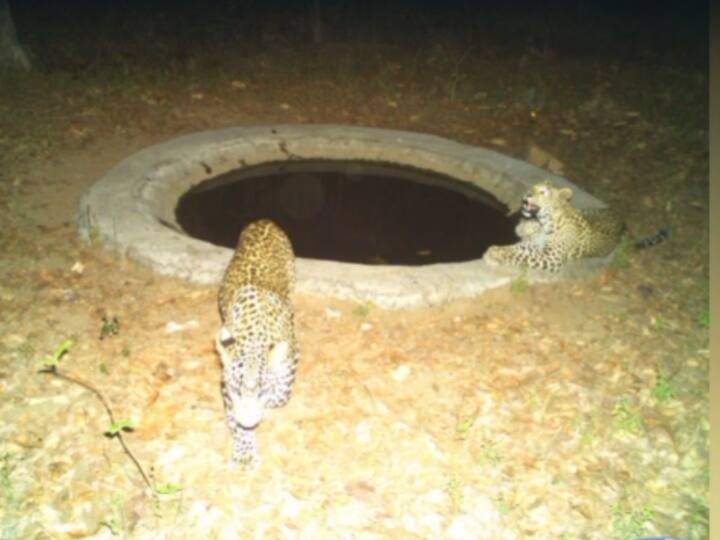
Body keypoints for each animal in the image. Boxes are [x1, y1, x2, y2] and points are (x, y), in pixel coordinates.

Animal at [216, 219, 299, 465]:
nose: (248, 420)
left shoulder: (291, 355)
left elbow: (281, 393)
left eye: (261, 392)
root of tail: (264, 220)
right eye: (236, 390)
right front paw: (244, 451)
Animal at [484, 180, 667, 273]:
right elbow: (515, 249)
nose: (527, 194)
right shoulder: (534, 244)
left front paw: (495, 253)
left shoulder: (552, 258)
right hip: (587, 210)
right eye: (532, 187)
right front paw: (496, 249)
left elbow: (521, 256)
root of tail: (623, 224)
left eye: (544, 192)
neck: (545, 222)